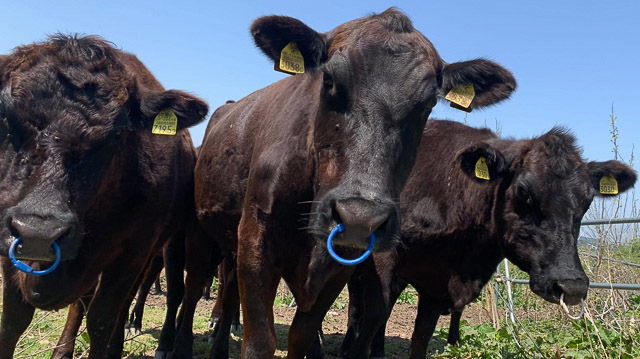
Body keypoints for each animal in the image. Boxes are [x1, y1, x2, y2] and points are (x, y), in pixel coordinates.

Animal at [0, 34, 206, 359]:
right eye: (6, 118)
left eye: (117, 135)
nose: (39, 233)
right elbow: (13, 319)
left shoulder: (132, 252)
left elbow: (102, 320)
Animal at [168, 8, 516, 359]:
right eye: (329, 80)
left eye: (429, 103)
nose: (360, 218)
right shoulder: (256, 239)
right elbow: (260, 341)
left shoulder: (341, 264)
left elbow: (302, 335)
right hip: (199, 233)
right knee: (194, 288)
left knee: (227, 295)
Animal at [340, 119, 636, 358]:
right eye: (523, 191)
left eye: (587, 200)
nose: (571, 285)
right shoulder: (383, 258)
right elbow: (375, 312)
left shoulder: (434, 284)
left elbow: (421, 334)